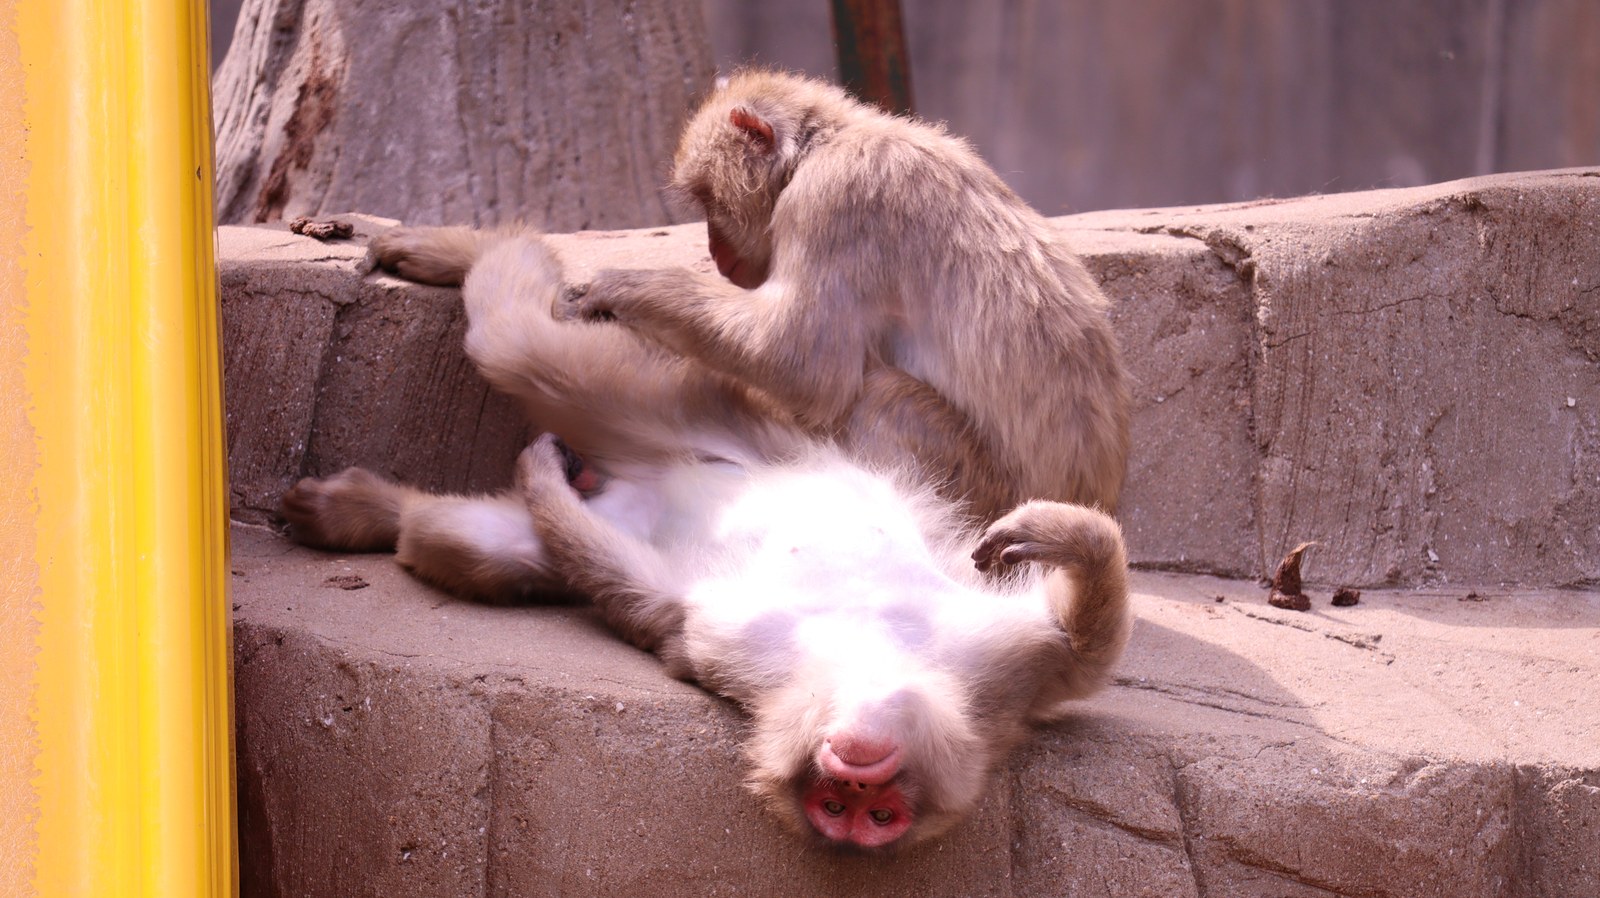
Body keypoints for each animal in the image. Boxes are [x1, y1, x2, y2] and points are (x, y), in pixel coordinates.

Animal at [283, 228, 1132, 848]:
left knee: (476, 537)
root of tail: (630, 478)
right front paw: (1063, 533)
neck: (876, 650)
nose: (853, 776)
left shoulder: (736, 650)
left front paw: (541, 480)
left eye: (872, 816)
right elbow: (1084, 644)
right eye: (845, 802)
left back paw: (373, 511)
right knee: (524, 343)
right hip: (714, 414)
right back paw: (462, 250)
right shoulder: (1011, 658)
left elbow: (650, 599)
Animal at [565, 68, 1132, 520]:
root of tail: (1095, 499)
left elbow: (802, 364)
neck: (823, 145)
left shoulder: (833, 201)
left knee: (882, 398)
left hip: (986, 492)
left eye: (709, 200)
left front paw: (625, 287)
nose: (713, 248)